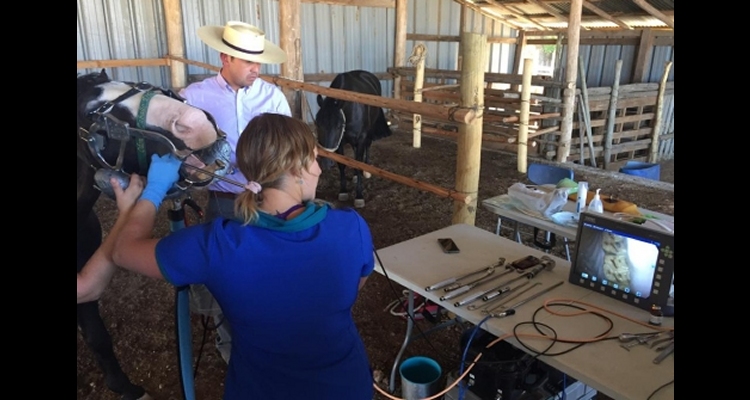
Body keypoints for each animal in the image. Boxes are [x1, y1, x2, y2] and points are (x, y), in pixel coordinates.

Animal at [314, 69, 394, 208]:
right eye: (317, 124)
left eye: (339, 125)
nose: (326, 162)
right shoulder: (340, 142)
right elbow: (342, 165)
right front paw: (343, 191)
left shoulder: (361, 138)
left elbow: (358, 163)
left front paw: (359, 196)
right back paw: (356, 176)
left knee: (366, 148)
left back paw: (365, 169)